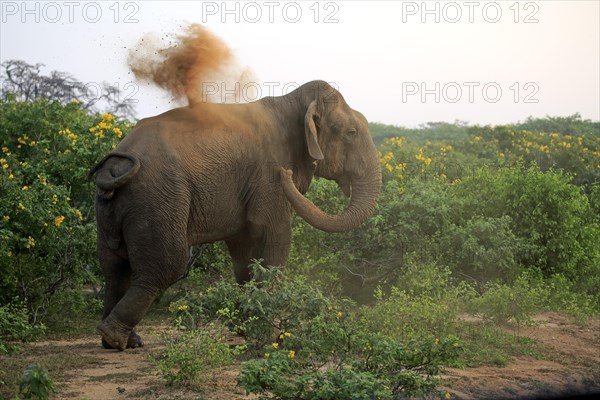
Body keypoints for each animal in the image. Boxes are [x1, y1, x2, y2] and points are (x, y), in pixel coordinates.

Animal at [87, 80, 382, 350]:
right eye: (351, 132)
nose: (285, 173)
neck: (293, 101)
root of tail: (113, 167)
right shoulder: (268, 178)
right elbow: (274, 240)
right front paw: (270, 337)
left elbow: (244, 255)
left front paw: (246, 330)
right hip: (157, 199)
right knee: (165, 266)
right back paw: (115, 338)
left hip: (112, 207)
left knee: (114, 268)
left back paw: (121, 341)